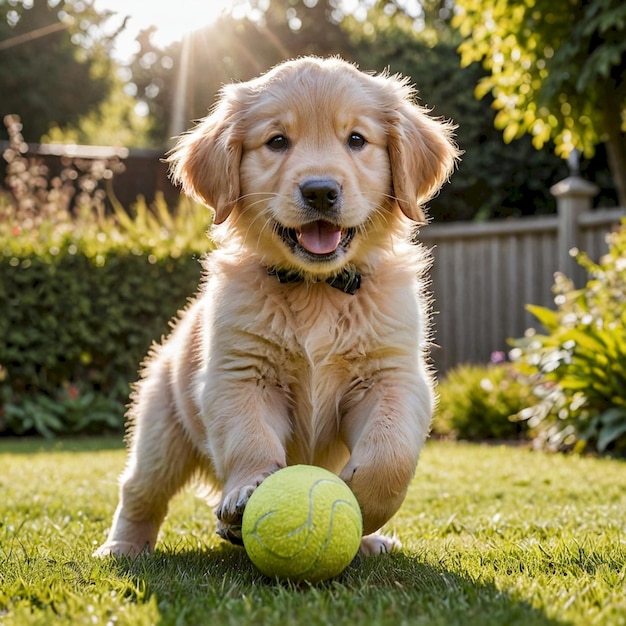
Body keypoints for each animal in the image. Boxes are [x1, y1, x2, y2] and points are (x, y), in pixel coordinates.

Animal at [96, 56, 458, 560]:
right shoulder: (241, 375)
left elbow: (390, 453)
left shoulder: (392, 376)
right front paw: (247, 491)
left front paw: (362, 507)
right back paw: (124, 546)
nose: (320, 191)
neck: (317, 288)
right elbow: (250, 440)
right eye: (278, 141)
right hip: (161, 427)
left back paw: (366, 542)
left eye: (357, 140)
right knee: (141, 489)